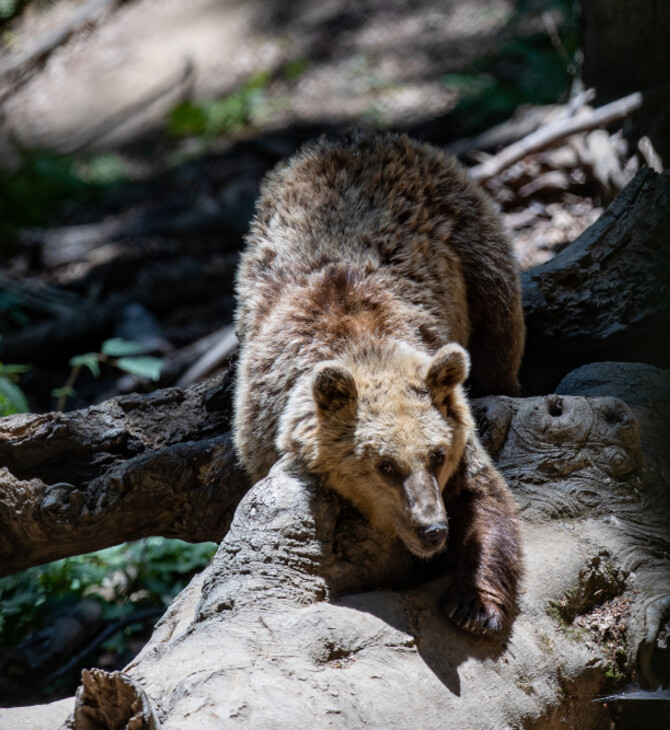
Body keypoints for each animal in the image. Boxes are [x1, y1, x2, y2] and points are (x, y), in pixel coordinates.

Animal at [235, 131, 524, 636]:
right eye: (385, 465)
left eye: (436, 455)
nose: (432, 530)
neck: (361, 345)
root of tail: (355, 136)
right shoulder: (262, 422)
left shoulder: (451, 418)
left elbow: (486, 496)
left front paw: (474, 606)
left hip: (467, 238)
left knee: (499, 324)